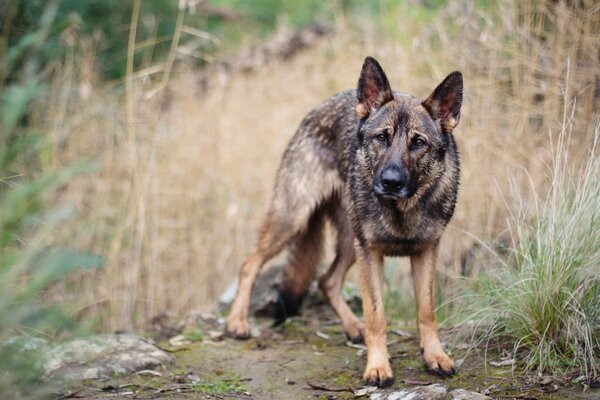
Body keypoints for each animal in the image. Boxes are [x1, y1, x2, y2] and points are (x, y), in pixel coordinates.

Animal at [225, 56, 464, 388]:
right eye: (382, 138)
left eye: (418, 143)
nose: (390, 182)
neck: (401, 210)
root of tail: (317, 109)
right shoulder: (371, 253)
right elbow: (376, 315)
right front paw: (377, 367)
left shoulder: (425, 251)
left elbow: (426, 311)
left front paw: (435, 357)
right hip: (294, 220)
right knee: (250, 264)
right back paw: (237, 322)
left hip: (349, 243)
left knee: (326, 280)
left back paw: (353, 328)